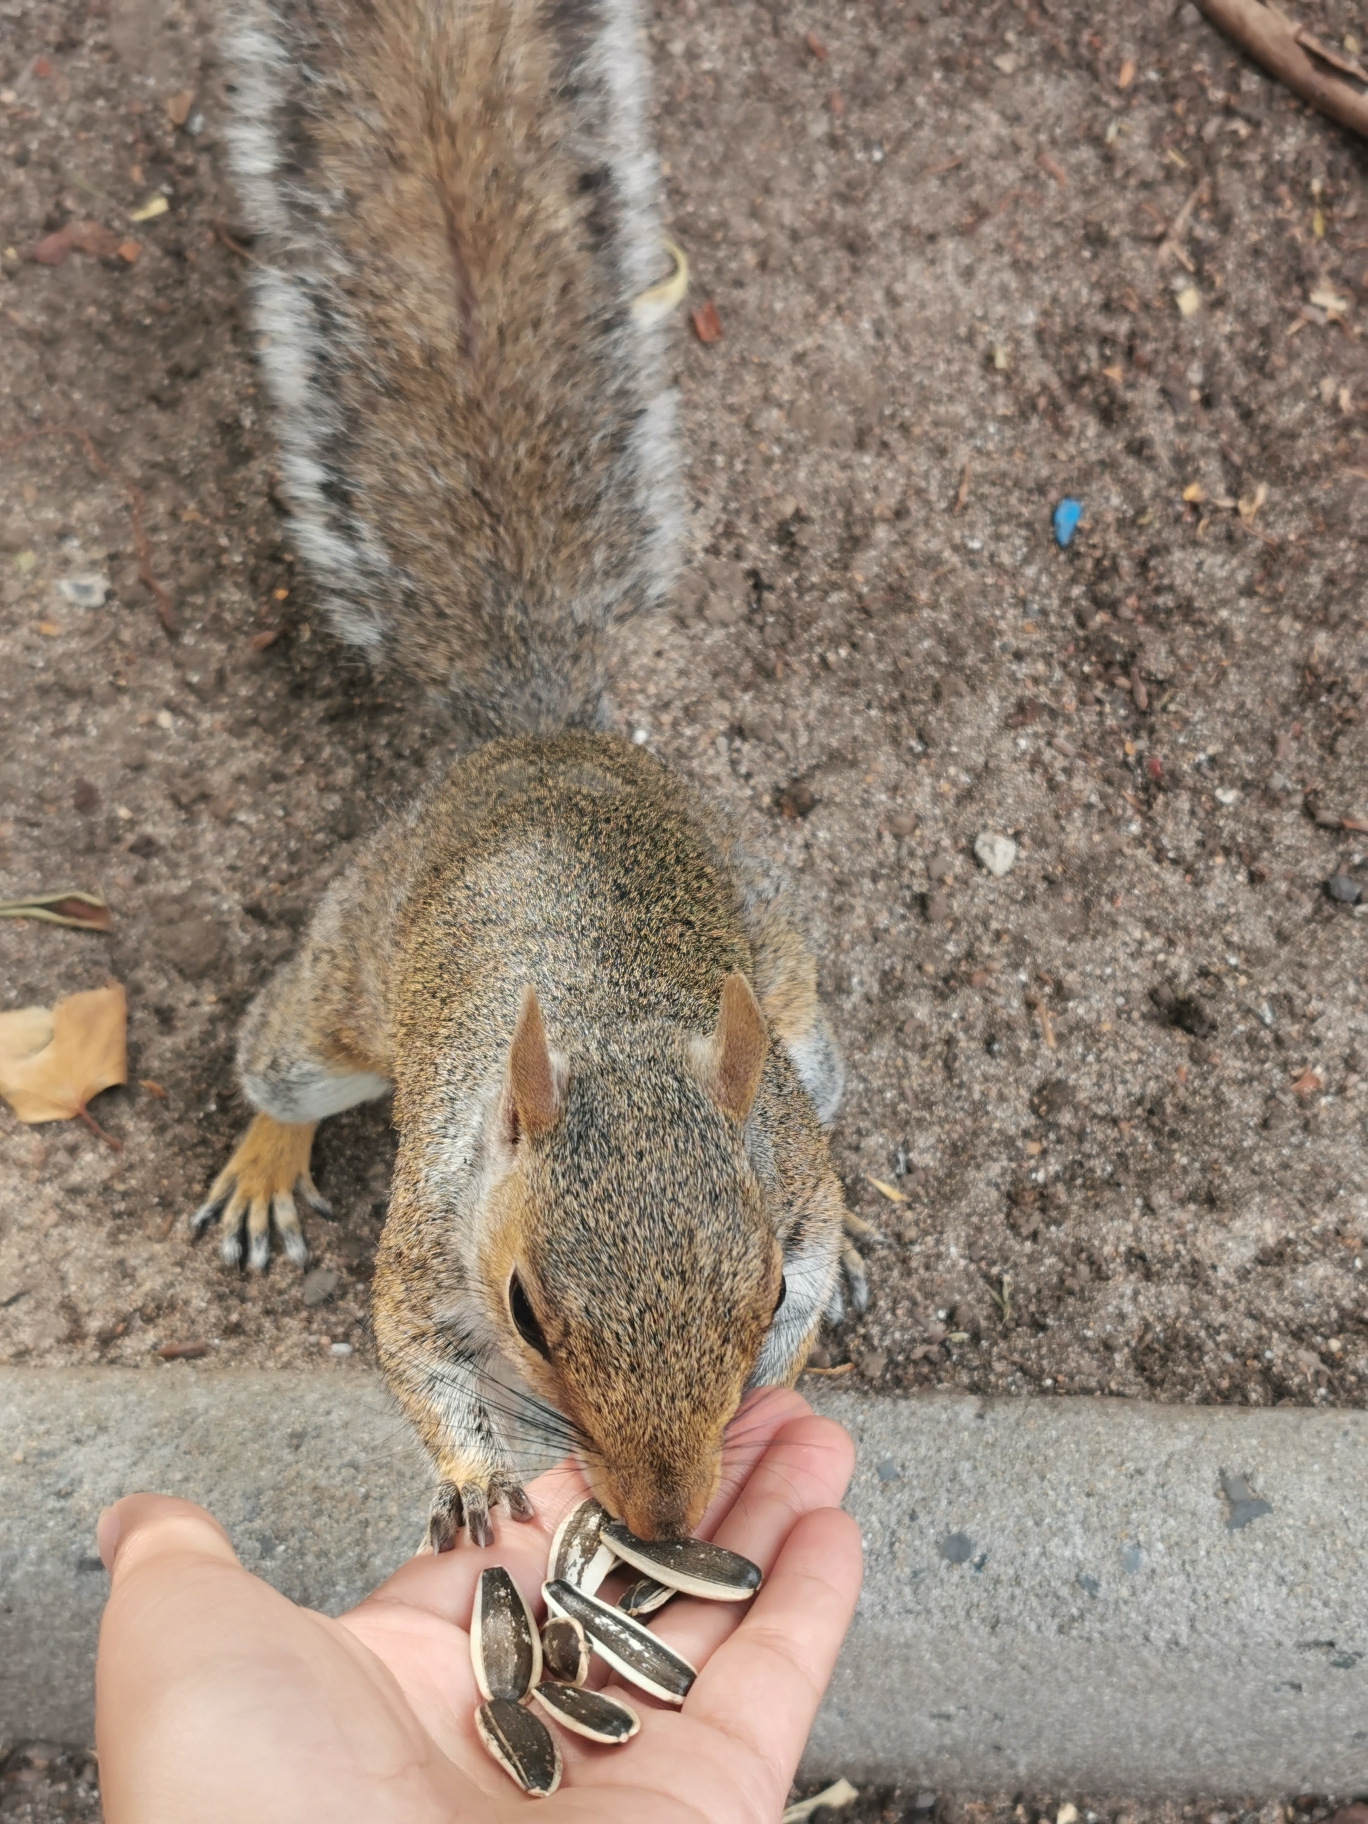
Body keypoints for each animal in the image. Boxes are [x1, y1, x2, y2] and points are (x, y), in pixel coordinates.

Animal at [195, 0, 868, 1546]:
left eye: (756, 1297)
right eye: (525, 1311)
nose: (668, 1524)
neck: (611, 1035)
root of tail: (535, 731)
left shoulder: (788, 1158)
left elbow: (815, 1231)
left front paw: (814, 1316)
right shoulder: (430, 1238)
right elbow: (404, 1347)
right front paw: (475, 1479)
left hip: (794, 1000)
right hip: (344, 978)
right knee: (275, 1056)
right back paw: (265, 1165)